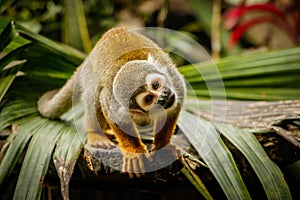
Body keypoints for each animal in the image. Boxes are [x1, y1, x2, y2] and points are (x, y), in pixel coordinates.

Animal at [38, 27, 185, 178]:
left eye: (156, 85)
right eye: (148, 99)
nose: (164, 95)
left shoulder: (174, 80)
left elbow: (173, 108)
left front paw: (163, 145)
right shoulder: (115, 104)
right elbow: (113, 114)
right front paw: (134, 151)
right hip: (89, 75)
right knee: (94, 94)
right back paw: (95, 134)